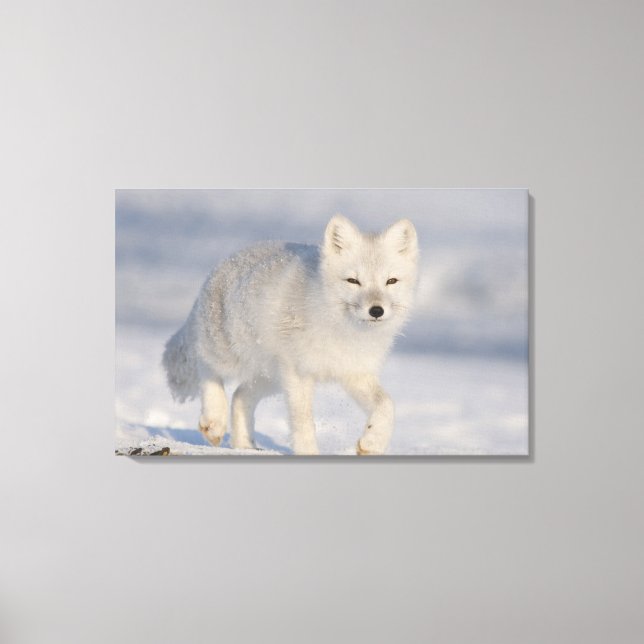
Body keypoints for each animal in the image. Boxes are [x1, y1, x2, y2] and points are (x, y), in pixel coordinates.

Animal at [162, 214, 418, 455]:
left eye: (391, 281)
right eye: (353, 281)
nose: (376, 311)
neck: (343, 330)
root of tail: (221, 266)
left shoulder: (354, 372)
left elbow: (386, 405)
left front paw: (372, 443)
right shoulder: (299, 373)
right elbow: (303, 421)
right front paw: (308, 452)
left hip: (271, 377)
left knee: (240, 395)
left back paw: (244, 445)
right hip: (229, 355)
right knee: (205, 366)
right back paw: (214, 420)